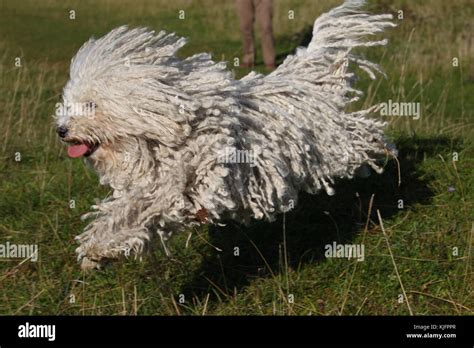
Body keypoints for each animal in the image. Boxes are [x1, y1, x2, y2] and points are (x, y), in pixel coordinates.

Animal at [55, 0, 396, 270]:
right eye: (69, 103)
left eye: (91, 104)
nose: (61, 130)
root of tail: (305, 79)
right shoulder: (152, 185)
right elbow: (123, 211)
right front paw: (96, 250)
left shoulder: (178, 187)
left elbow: (146, 210)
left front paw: (102, 247)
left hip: (333, 144)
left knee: (360, 136)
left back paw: (382, 148)